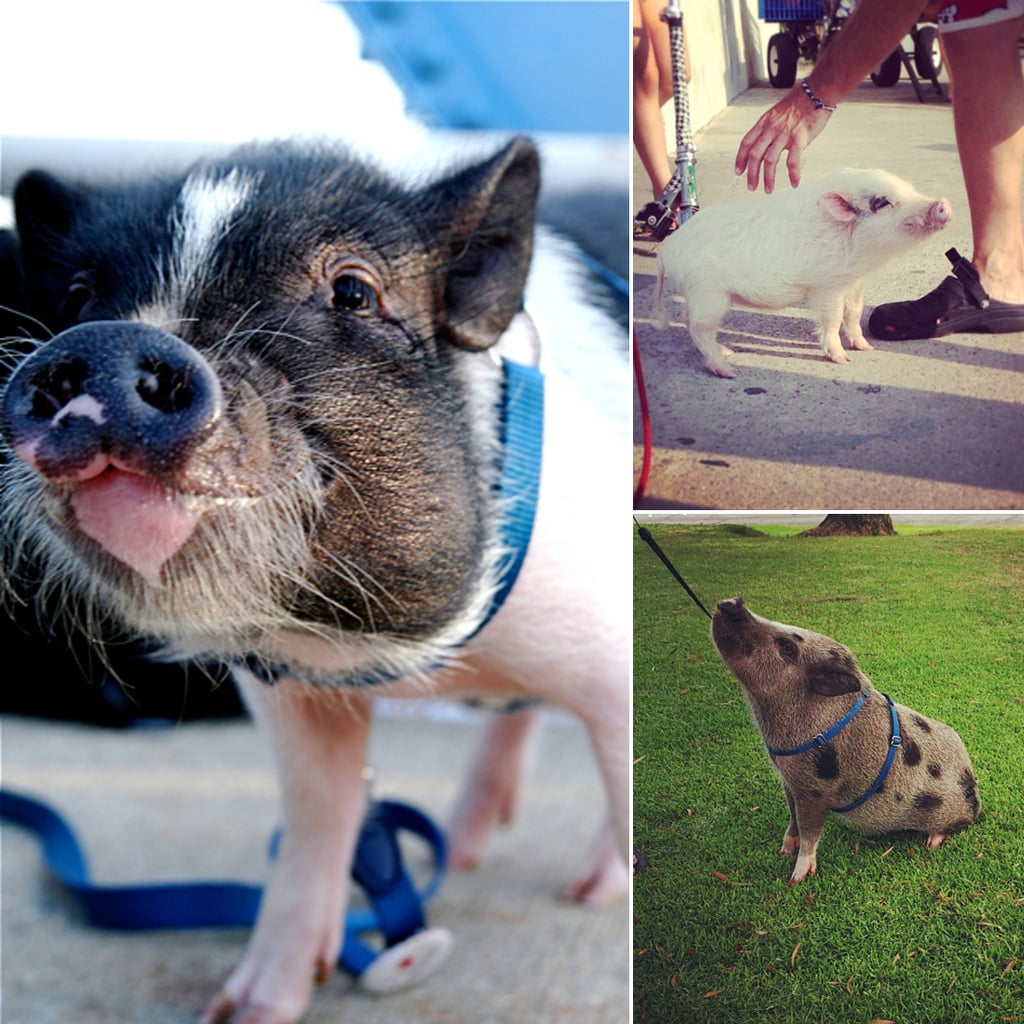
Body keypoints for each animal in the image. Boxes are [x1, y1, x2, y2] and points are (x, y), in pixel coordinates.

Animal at [0, 138, 630, 1024]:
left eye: (354, 290)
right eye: (79, 297)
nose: (108, 342)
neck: (384, 650)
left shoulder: (610, 651)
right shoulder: (286, 691)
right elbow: (316, 816)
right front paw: (245, 1011)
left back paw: (585, 892)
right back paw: (468, 849)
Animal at [653, 168, 952, 377]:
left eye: (911, 188)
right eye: (884, 202)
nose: (943, 203)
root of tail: (667, 252)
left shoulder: (854, 282)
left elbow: (854, 313)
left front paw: (866, 347)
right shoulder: (827, 285)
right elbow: (832, 318)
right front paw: (843, 360)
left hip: (697, 294)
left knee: (690, 322)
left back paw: (728, 350)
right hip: (709, 294)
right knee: (700, 329)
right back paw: (730, 371)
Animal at [711, 597, 979, 885]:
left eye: (787, 647)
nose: (733, 602)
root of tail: (975, 792)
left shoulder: (816, 789)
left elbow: (810, 831)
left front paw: (796, 879)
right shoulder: (789, 781)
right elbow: (793, 819)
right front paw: (783, 851)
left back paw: (932, 842)